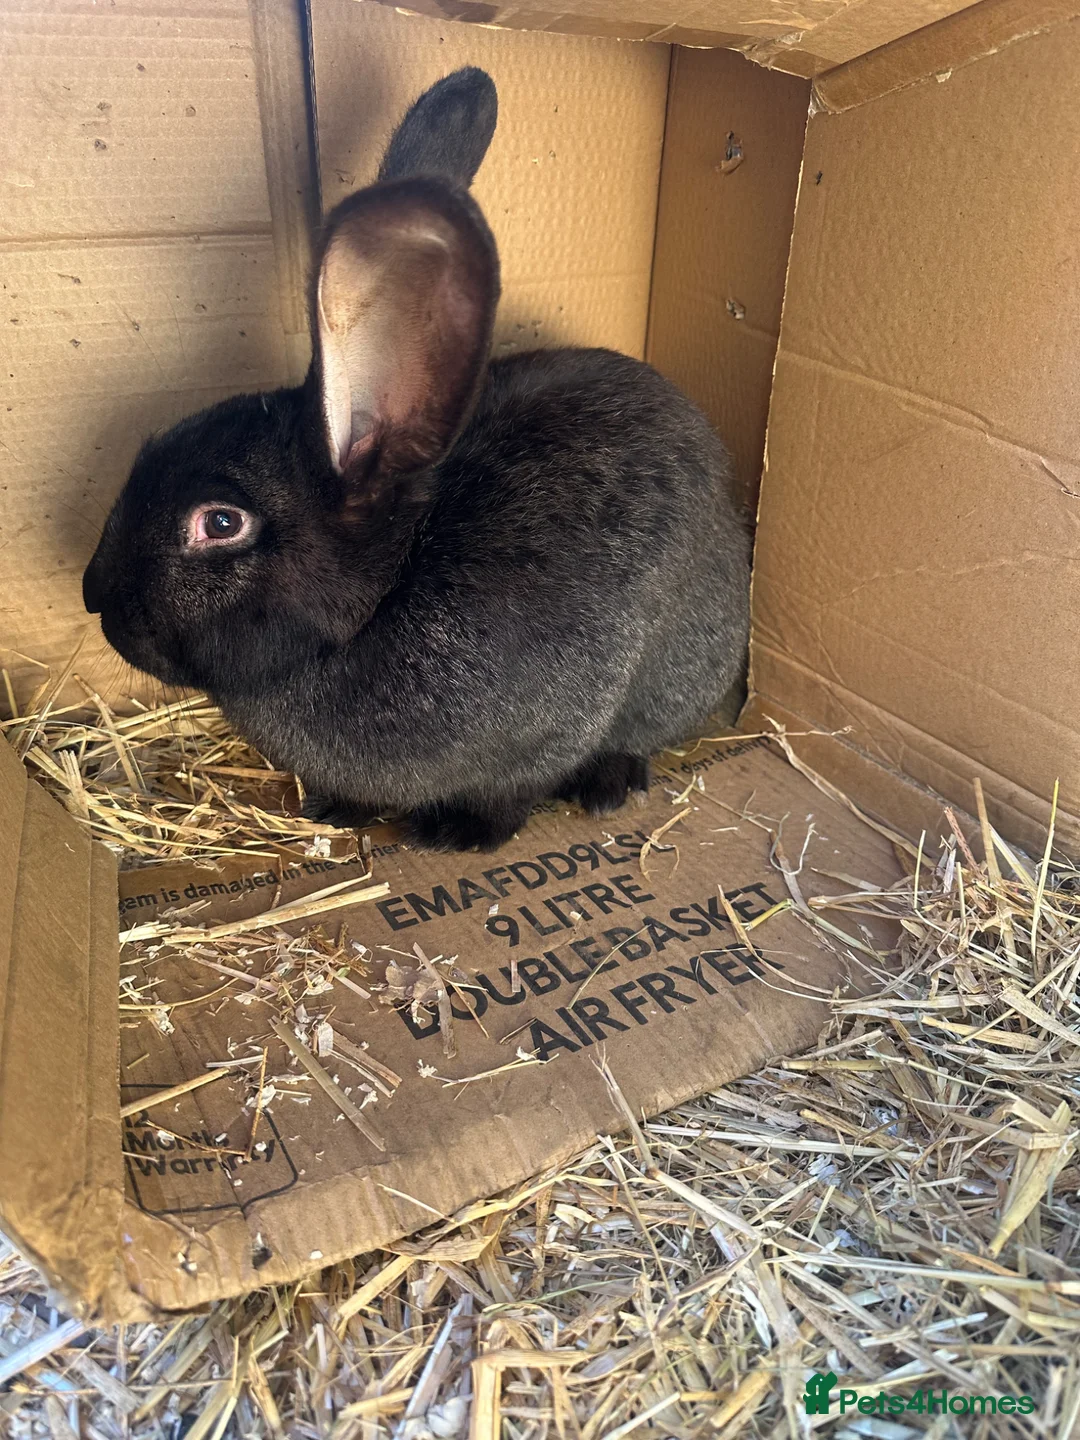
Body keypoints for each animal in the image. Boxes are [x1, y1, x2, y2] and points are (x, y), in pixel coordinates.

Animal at [83, 66, 752, 853]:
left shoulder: (552, 730)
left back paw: (607, 786)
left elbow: (512, 789)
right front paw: (335, 808)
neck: (386, 591)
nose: (94, 595)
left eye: (220, 523)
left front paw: (459, 834)